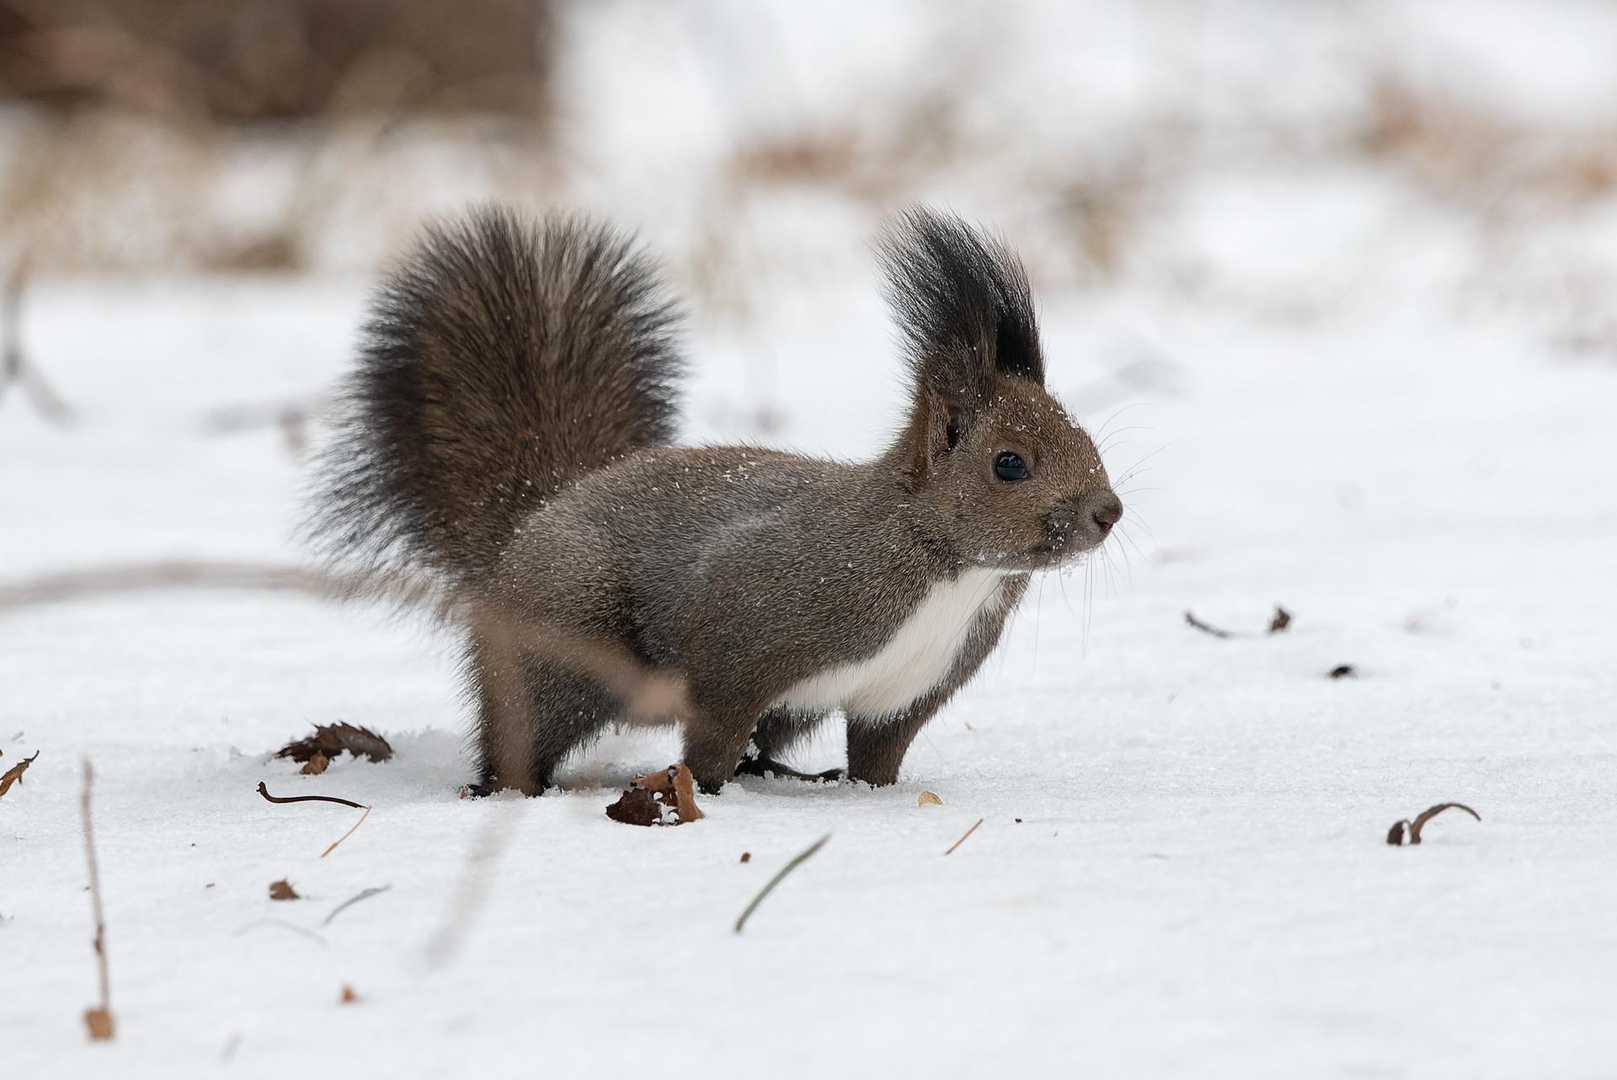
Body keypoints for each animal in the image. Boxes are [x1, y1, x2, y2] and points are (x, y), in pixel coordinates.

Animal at [307, 205, 1121, 796]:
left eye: (1087, 438)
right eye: (1009, 464)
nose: (1106, 513)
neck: (947, 568)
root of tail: (533, 517)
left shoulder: (908, 688)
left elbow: (879, 754)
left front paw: (874, 797)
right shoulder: (748, 632)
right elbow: (712, 735)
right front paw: (698, 792)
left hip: (789, 707)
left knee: (768, 738)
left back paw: (785, 771)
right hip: (564, 635)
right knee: (527, 723)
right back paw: (508, 790)